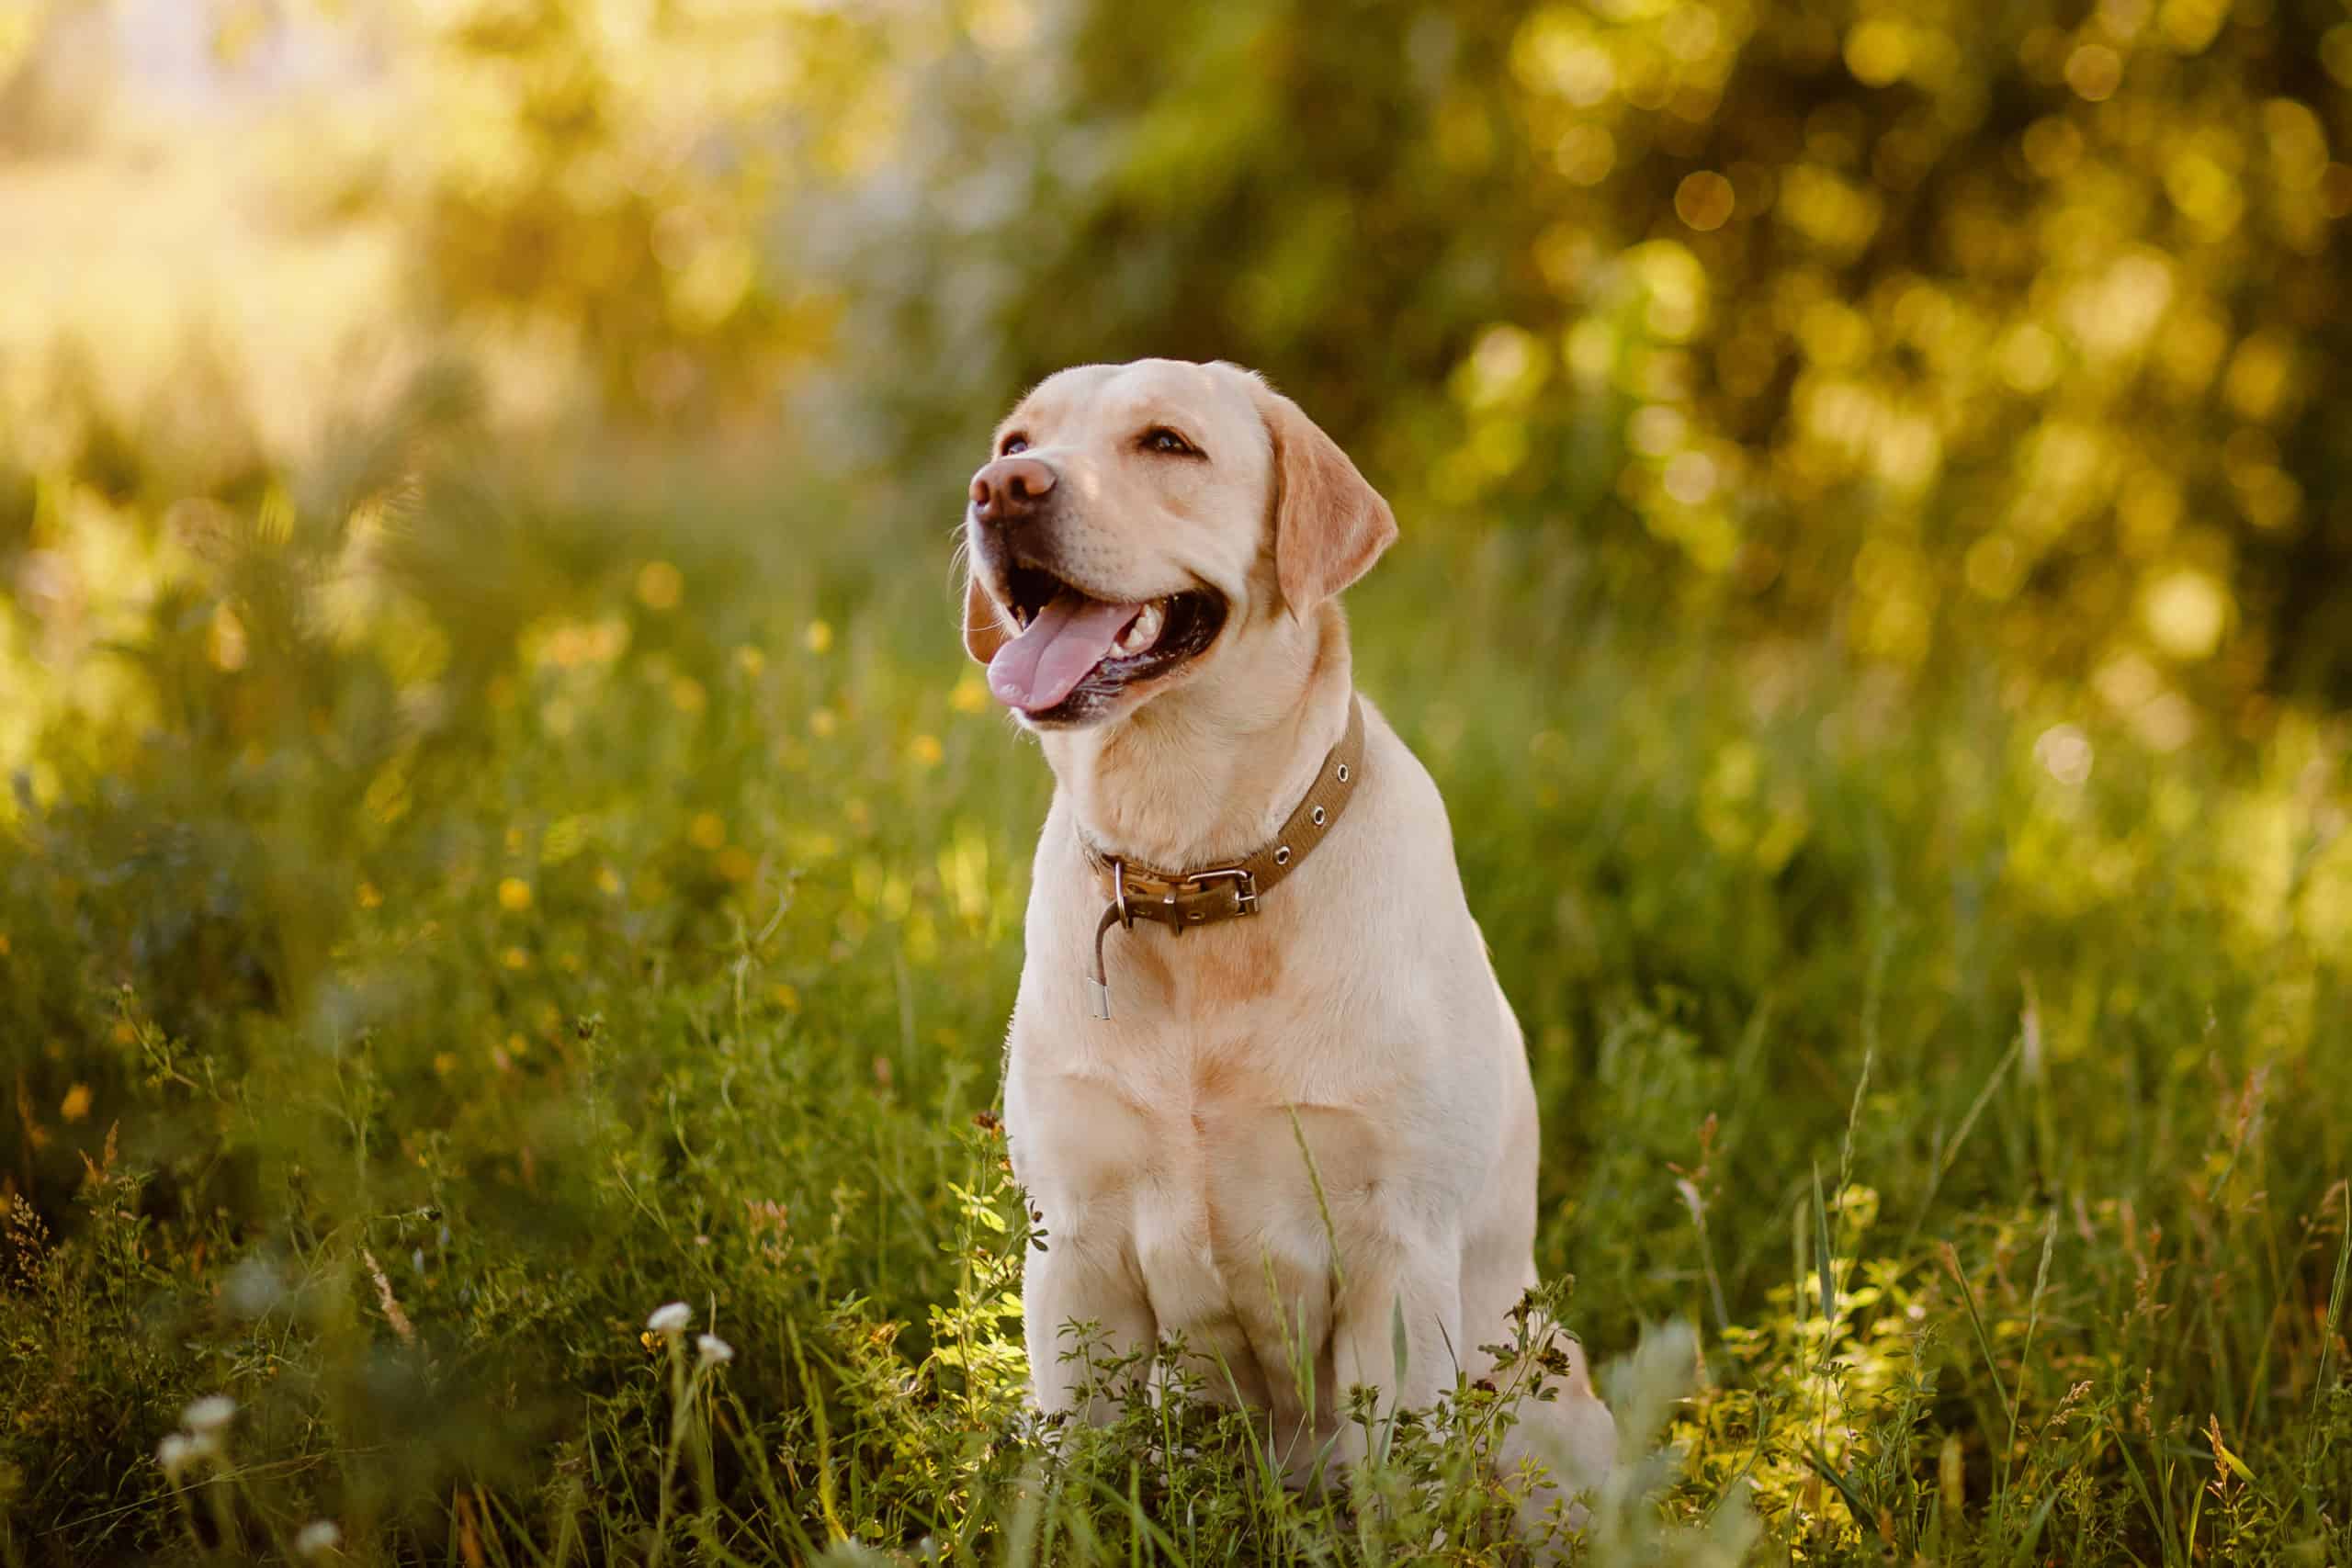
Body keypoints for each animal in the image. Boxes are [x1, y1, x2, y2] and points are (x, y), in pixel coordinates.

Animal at [959, 359, 1618, 1532]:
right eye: (1016, 440)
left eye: (1166, 443)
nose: (1000, 491)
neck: (1194, 874)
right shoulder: (1072, 1251)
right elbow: (1068, 1474)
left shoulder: (1397, 1260)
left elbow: (1398, 1497)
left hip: (1547, 1408)